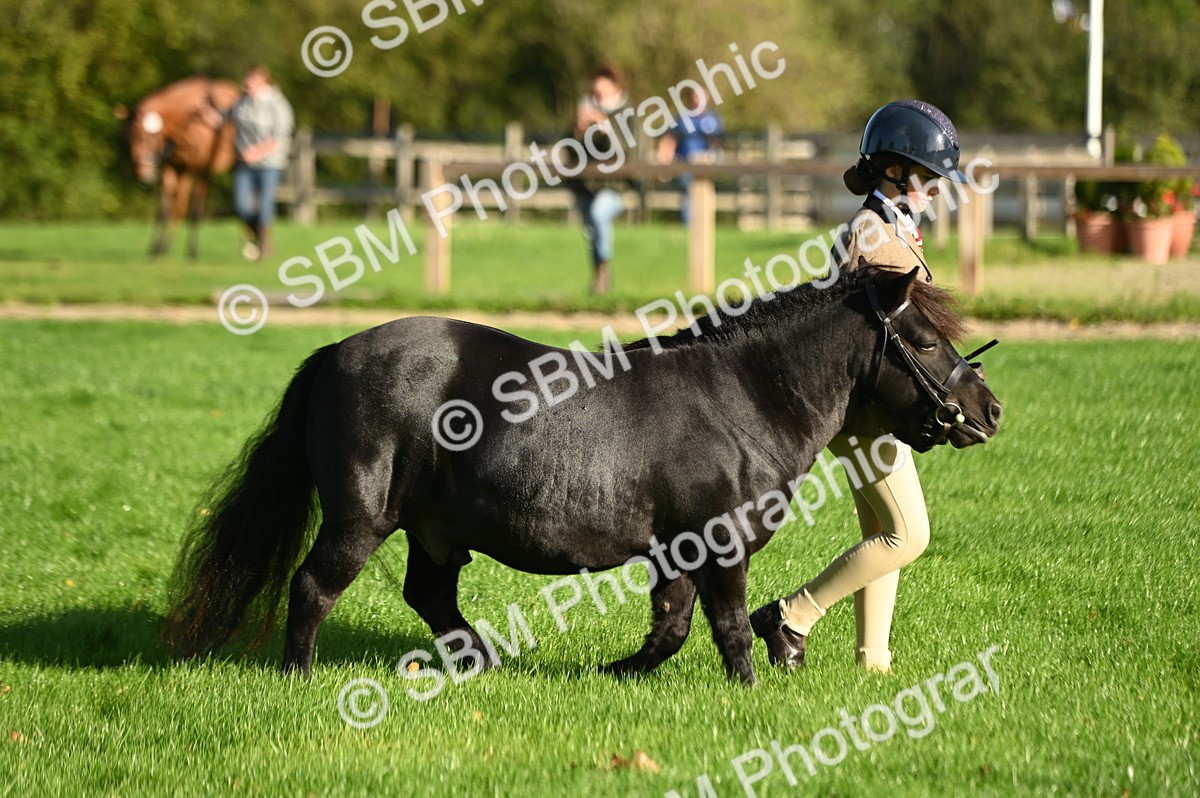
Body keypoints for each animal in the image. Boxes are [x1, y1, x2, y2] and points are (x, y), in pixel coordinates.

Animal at [118, 77, 240, 258]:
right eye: (129, 137)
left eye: (147, 137)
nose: (144, 177)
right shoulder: (172, 168)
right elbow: (165, 209)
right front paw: (156, 248)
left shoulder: (202, 171)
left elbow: (195, 210)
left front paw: (191, 252)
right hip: (184, 172)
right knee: (179, 207)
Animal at [164, 265, 1002, 684]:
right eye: (924, 339)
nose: (988, 409)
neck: (741, 395)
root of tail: (334, 352)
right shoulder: (719, 542)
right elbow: (729, 625)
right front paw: (750, 689)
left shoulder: (675, 550)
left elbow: (670, 627)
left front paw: (618, 671)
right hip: (361, 520)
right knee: (313, 587)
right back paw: (298, 678)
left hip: (434, 530)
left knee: (429, 596)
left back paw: (484, 665)